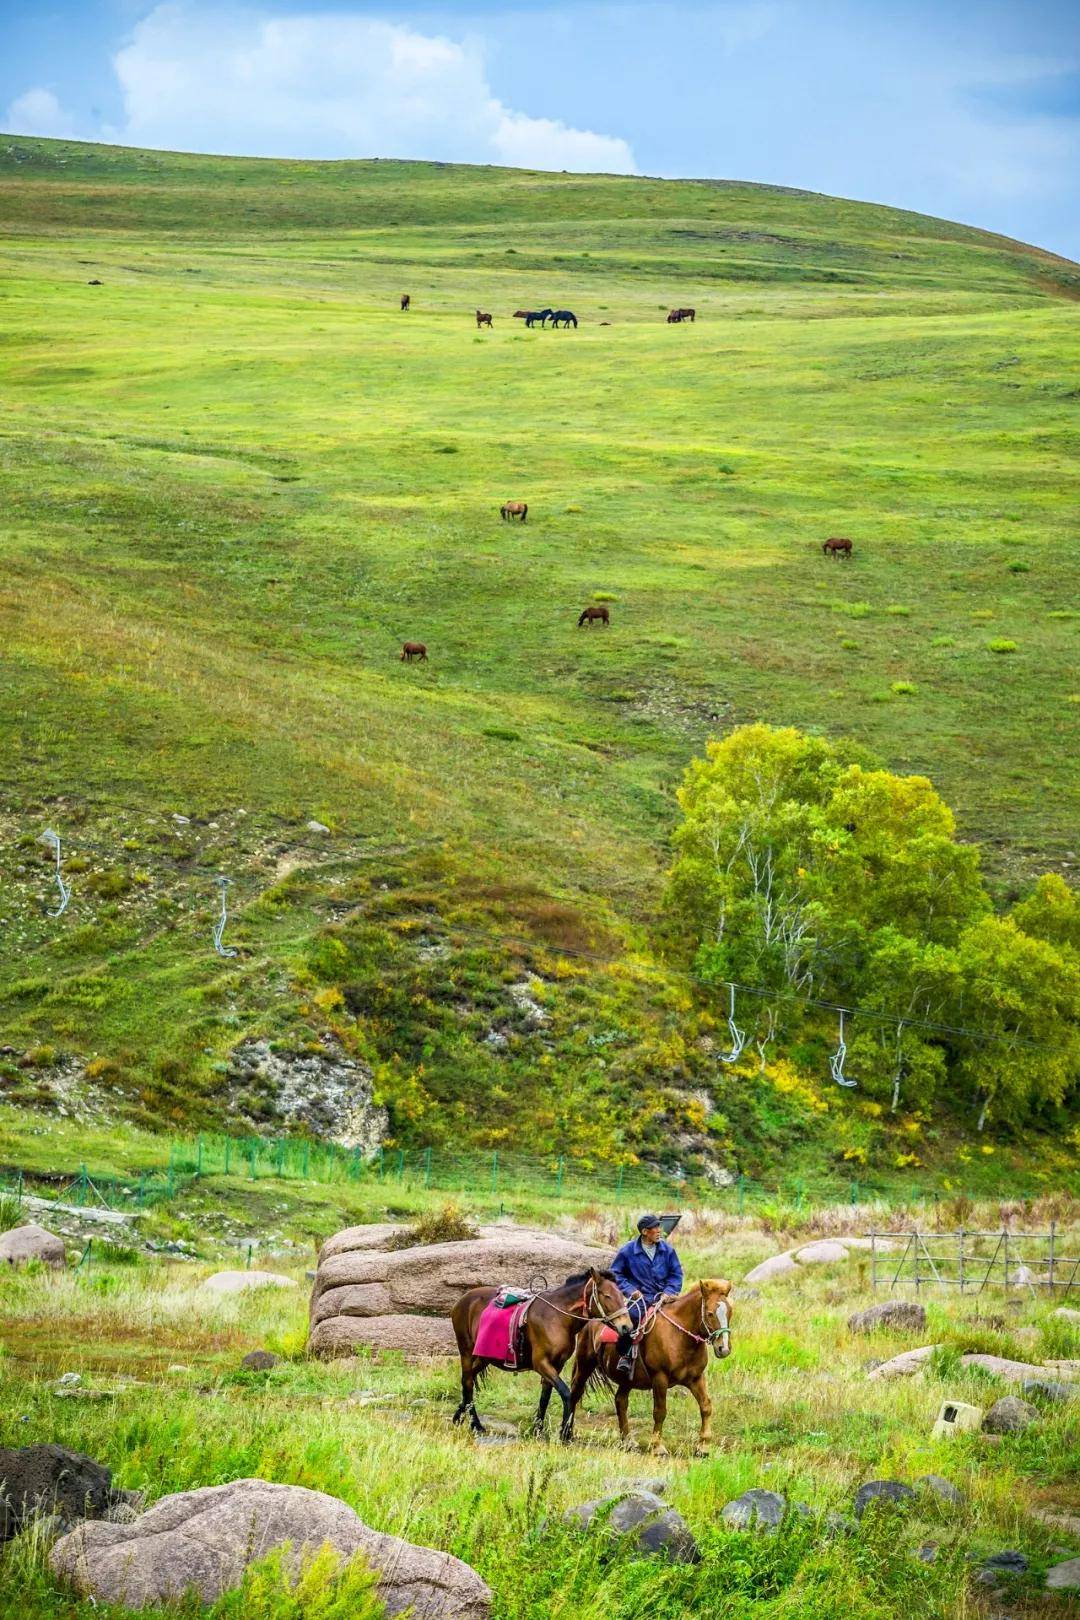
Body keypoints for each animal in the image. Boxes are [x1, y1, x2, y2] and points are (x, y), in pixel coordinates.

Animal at [450, 1263, 634, 1445]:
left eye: (621, 1295)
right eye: (607, 1296)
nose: (626, 1326)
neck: (556, 1317)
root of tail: (462, 1300)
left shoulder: (556, 1365)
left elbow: (545, 1397)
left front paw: (538, 1430)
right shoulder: (541, 1363)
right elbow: (566, 1393)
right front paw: (564, 1433)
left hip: (484, 1356)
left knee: (469, 1379)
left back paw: (459, 1415)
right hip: (466, 1351)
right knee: (467, 1381)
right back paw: (475, 1424)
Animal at [566, 1276, 735, 1458]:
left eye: (730, 1312)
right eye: (710, 1313)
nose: (723, 1349)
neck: (679, 1336)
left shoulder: (696, 1378)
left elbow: (706, 1407)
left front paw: (703, 1446)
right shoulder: (659, 1378)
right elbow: (660, 1411)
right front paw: (658, 1446)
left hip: (627, 1380)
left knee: (620, 1401)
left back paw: (628, 1441)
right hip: (584, 1365)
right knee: (574, 1394)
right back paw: (568, 1432)